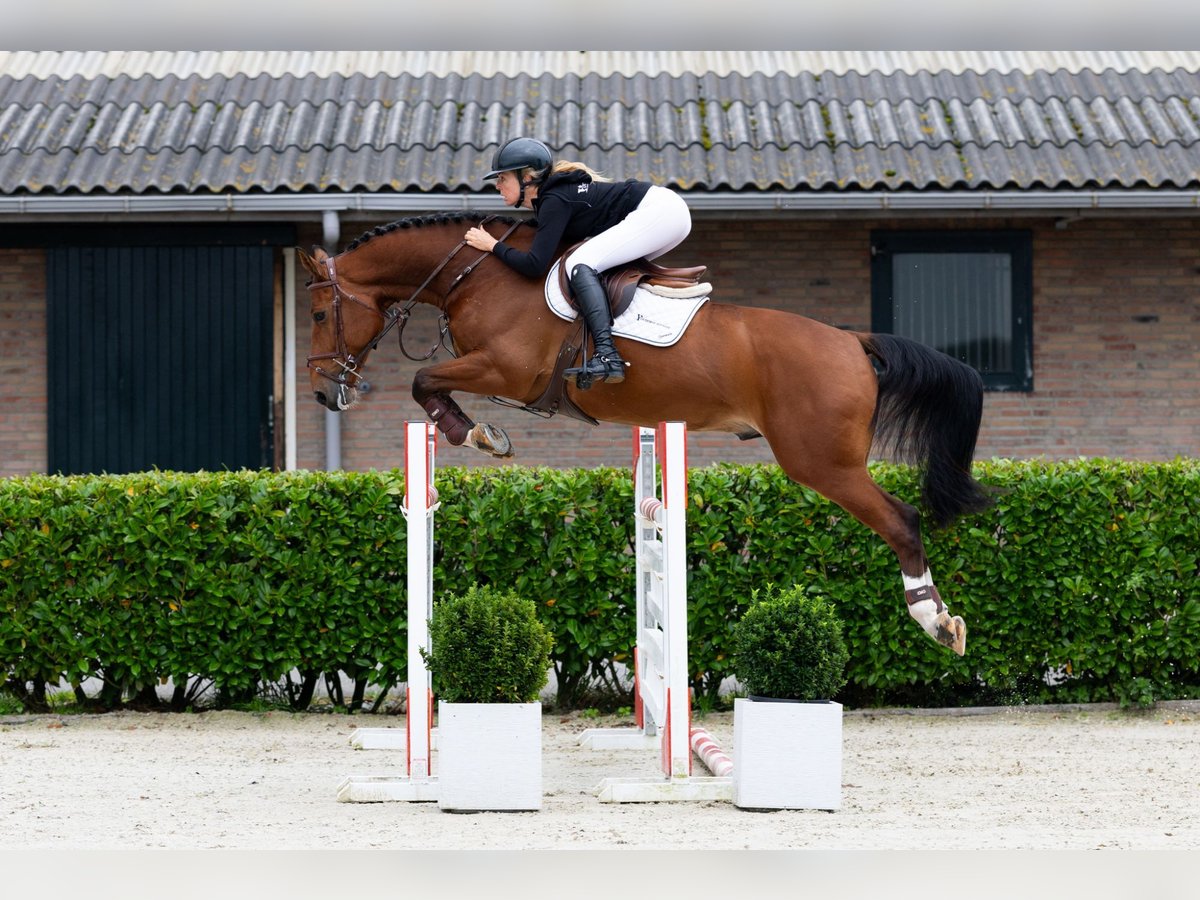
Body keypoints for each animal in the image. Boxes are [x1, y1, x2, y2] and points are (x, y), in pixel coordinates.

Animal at [300, 211, 994, 656]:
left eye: (318, 313)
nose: (324, 392)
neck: (481, 273)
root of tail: (854, 342)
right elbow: (427, 383)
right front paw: (478, 434)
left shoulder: (507, 369)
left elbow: (424, 380)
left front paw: (479, 435)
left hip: (822, 463)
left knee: (902, 519)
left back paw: (937, 622)